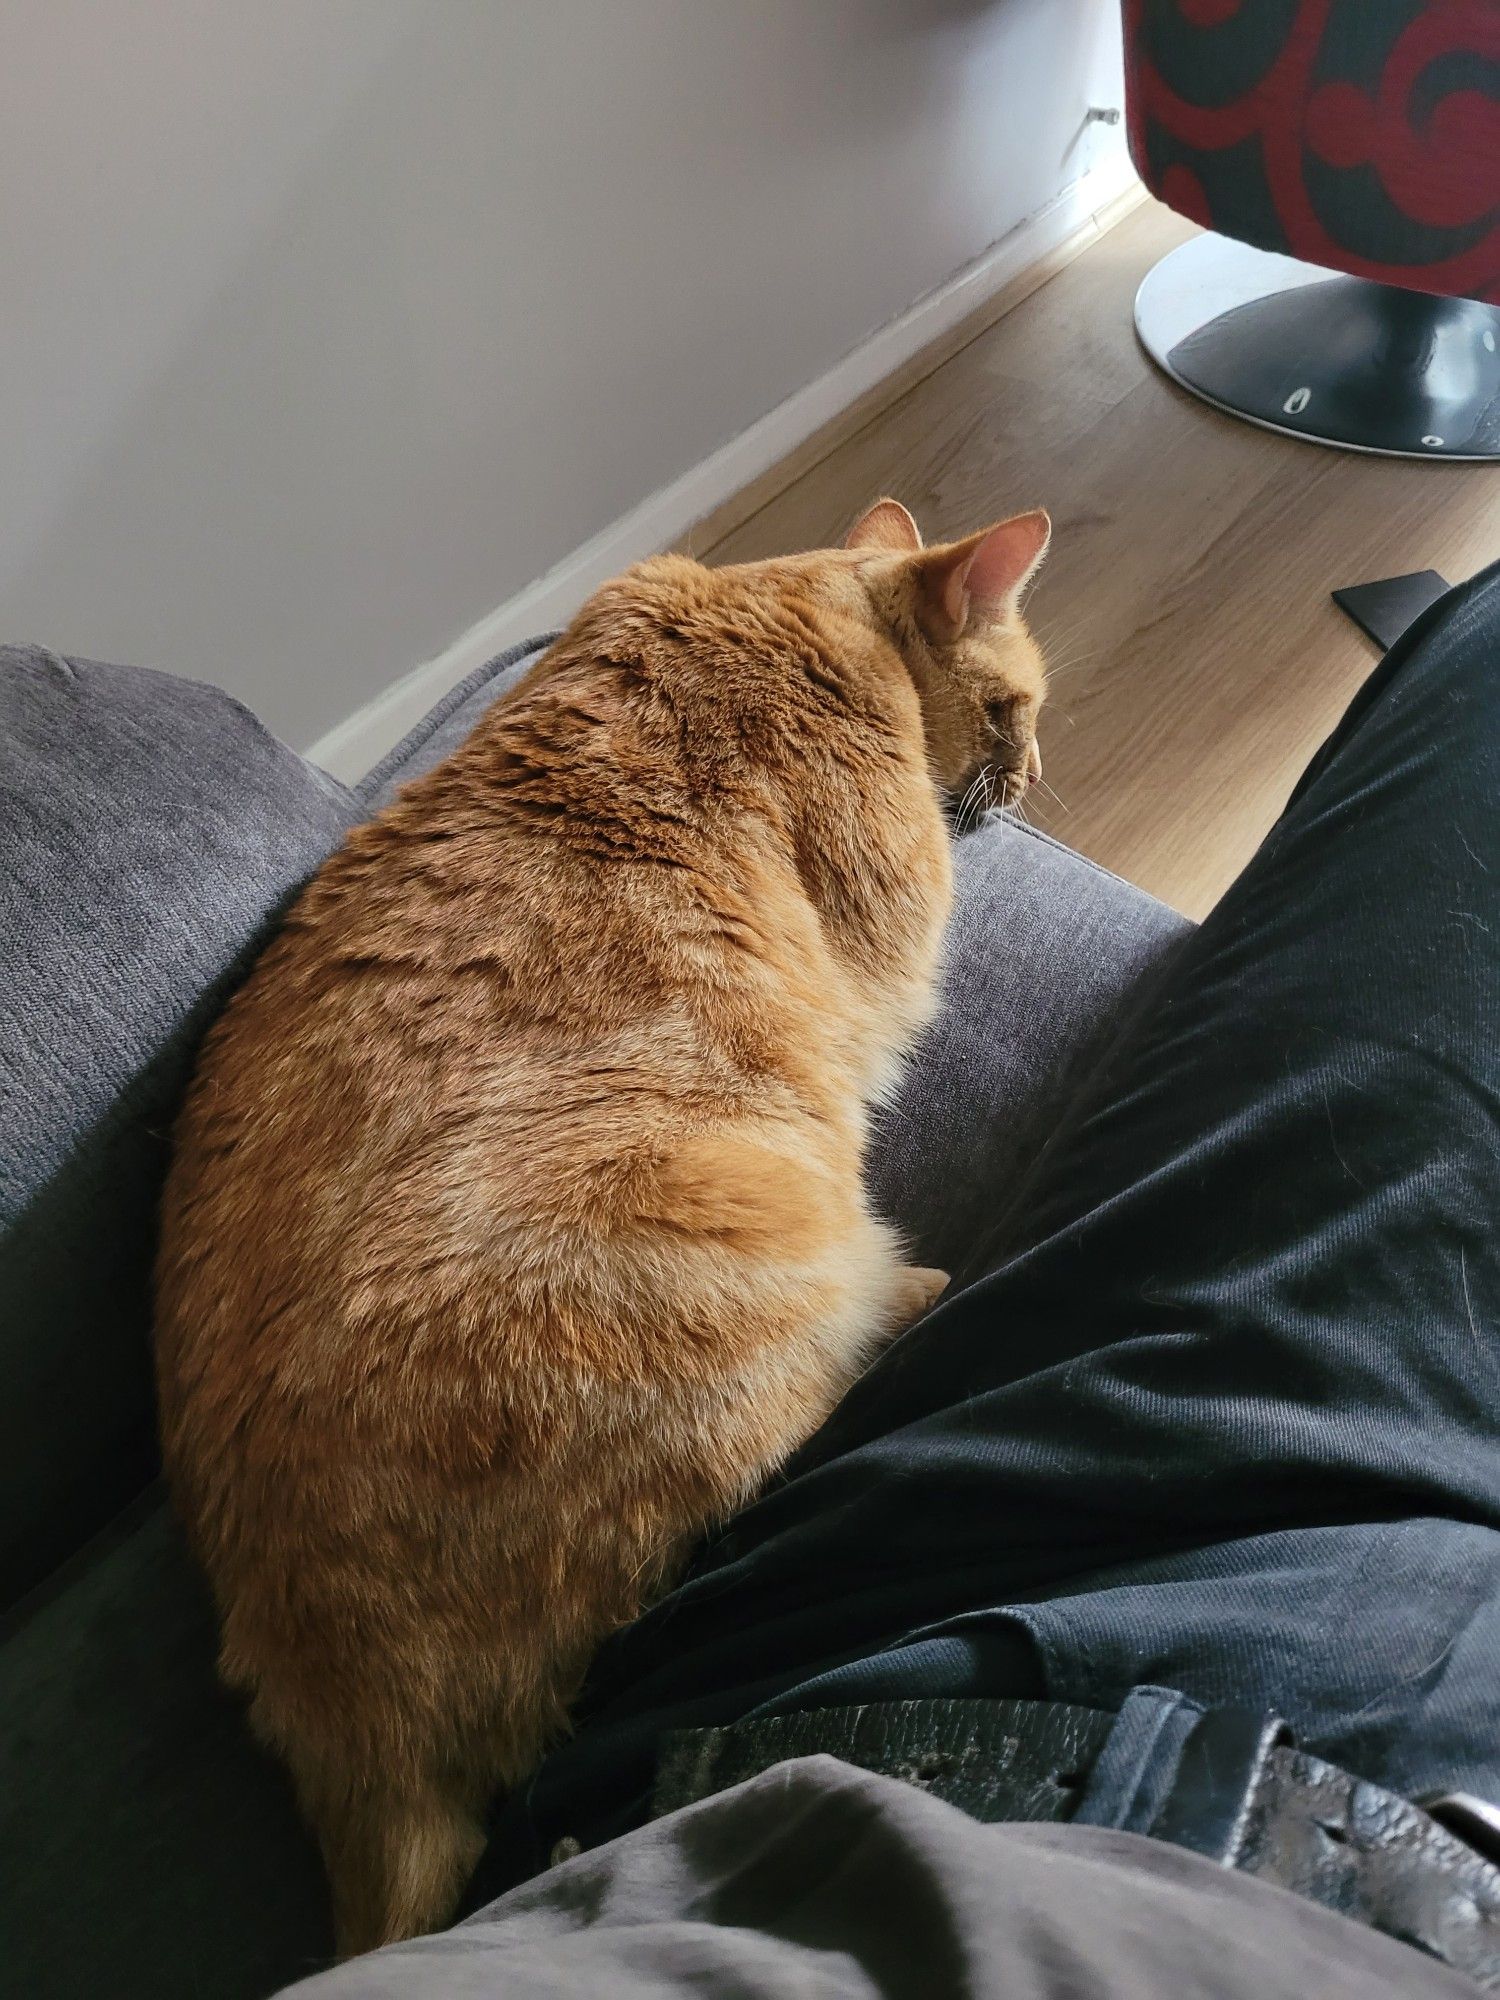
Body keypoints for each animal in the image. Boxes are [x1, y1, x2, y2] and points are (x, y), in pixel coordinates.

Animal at [150, 496, 1048, 1952]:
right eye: (1016, 707)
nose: (1031, 777)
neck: (798, 604)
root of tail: (348, 1725)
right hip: (739, 1233)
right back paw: (917, 1288)